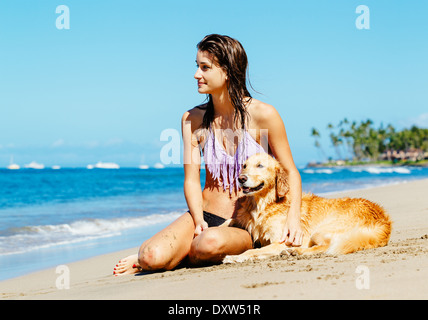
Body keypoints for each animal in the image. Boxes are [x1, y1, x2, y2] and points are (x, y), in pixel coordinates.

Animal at [222, 154, 392, 264]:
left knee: (326, 247)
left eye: (260, 165)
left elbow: (253, 250)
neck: (264, 204)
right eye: (244, 166)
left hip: (321, 231)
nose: (241, 178)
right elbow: (231, 220)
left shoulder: (282, 241)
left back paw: (296, 252)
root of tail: (383, 220)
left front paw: (234, 257)